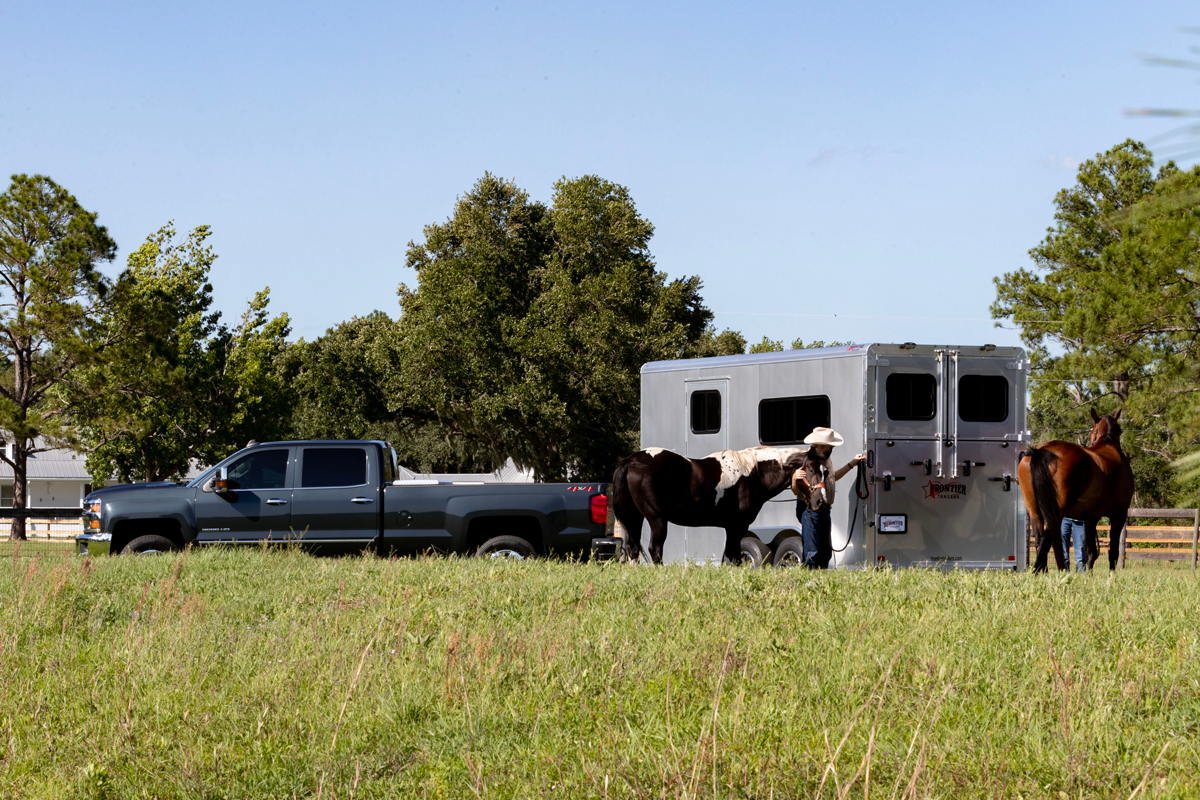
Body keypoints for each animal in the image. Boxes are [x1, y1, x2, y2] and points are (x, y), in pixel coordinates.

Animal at [609, 448, 806, 566]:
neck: (752, 474)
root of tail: (631, 461)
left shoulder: (731, 528)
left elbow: (728, 556)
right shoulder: (737, 526)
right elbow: (734, 555)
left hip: (634, 517)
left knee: (632, 548)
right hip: (657, 519)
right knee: (654, 549)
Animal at [1022, 410, 1132, 573]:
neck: (1108, 445)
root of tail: (1040, 451)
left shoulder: (1091, 518)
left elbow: (1090, 551)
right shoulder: (1119, 515)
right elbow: (1113, 551)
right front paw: (1111, 575)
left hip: (1035, 510)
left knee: (1039, 540)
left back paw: (1042, 571)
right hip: (1056, 511)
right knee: (1048, 539)